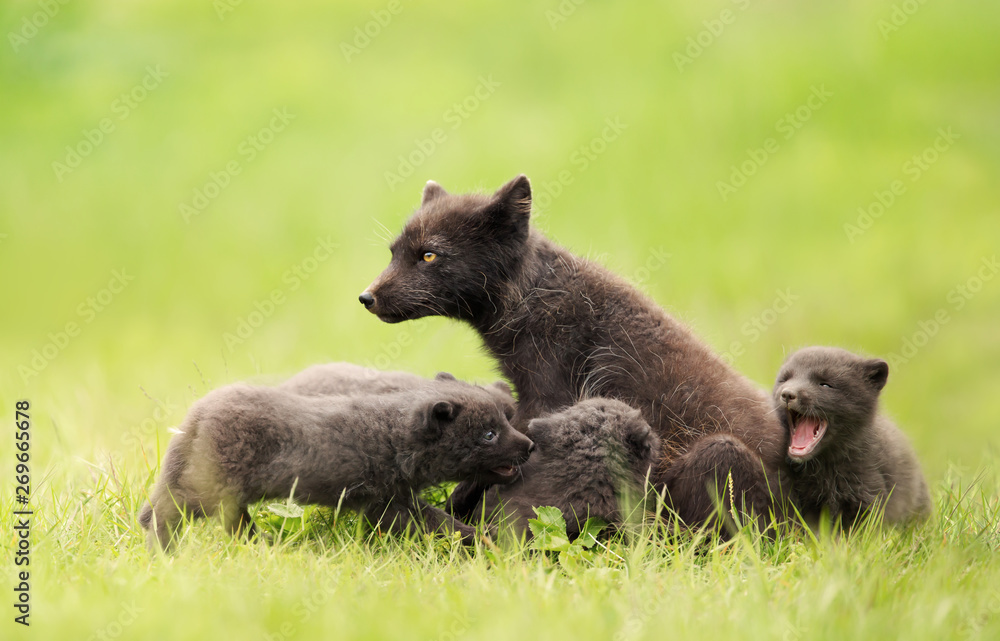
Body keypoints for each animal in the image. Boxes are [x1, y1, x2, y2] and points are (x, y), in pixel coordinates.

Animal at [359, 174, 789, 533]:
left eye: (429, 255)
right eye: (393, 253)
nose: (366, 298)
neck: (534, 298)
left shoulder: (546, 397)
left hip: (719, 455)